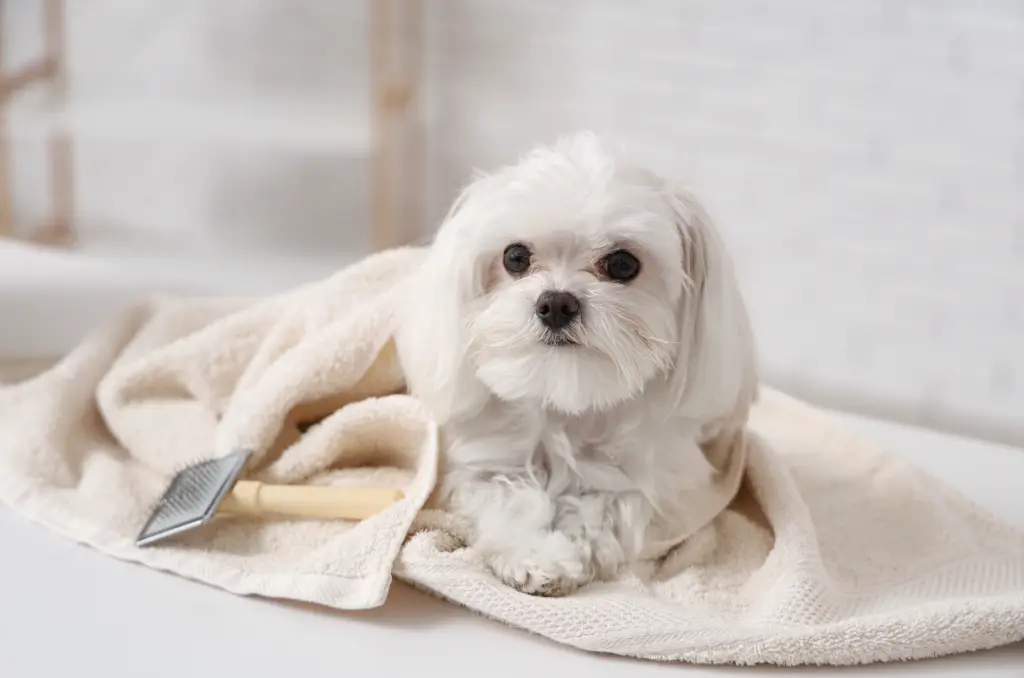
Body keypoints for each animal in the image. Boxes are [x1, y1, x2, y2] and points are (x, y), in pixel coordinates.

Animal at [395, 131, 757, 594]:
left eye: (623, 264)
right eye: (515, 257)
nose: (556, 303)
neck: (566, 399)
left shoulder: (650, 479)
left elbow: (605, 505)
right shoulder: (477, 466)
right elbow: (505, 497)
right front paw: (536, 555)